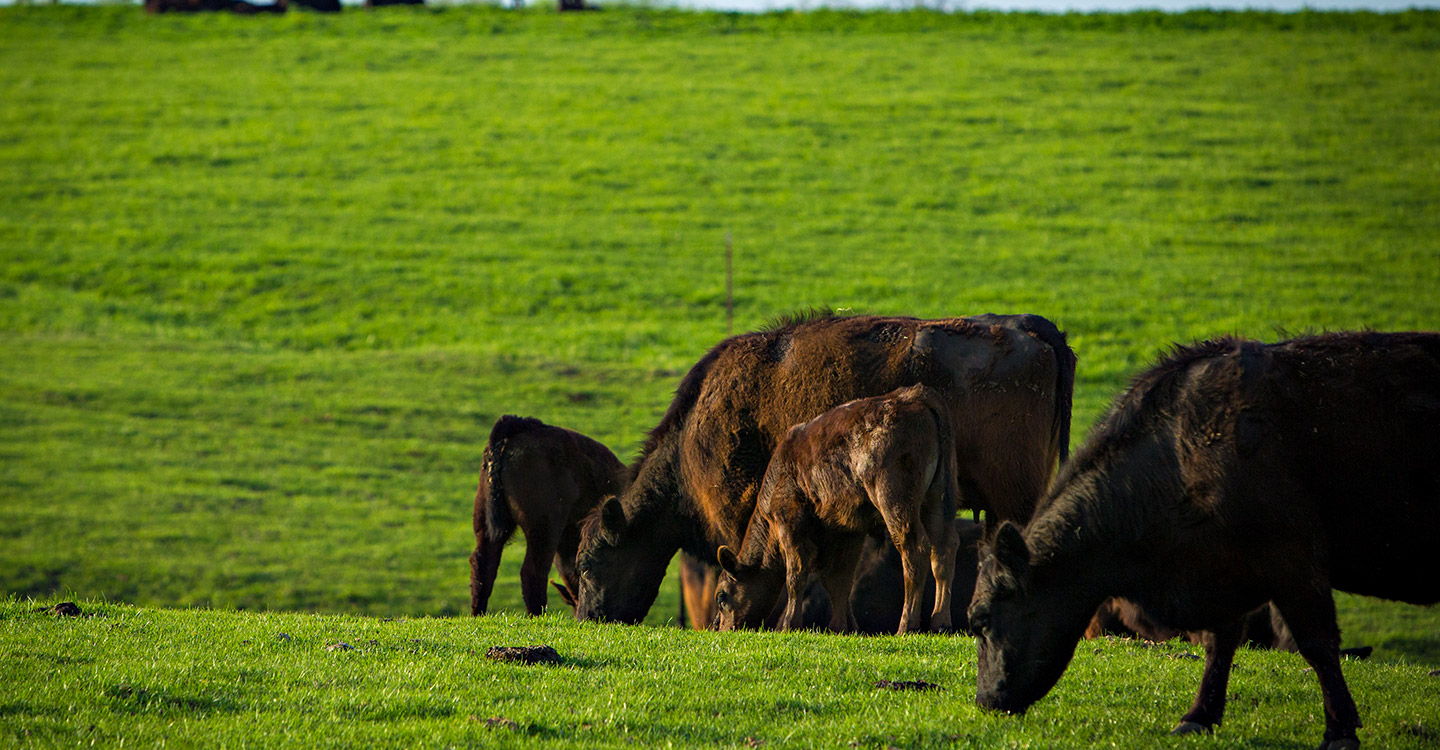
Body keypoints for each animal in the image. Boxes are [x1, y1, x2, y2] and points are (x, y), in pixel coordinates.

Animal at [967, 332, 1440, 748]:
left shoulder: (1293, 560)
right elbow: (1220, 643)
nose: (985, 701)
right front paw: (1198, 716)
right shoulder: (1226, 565)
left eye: (981, 619)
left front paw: (1340, 729)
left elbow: (1318, 644)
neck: (1179, 452)